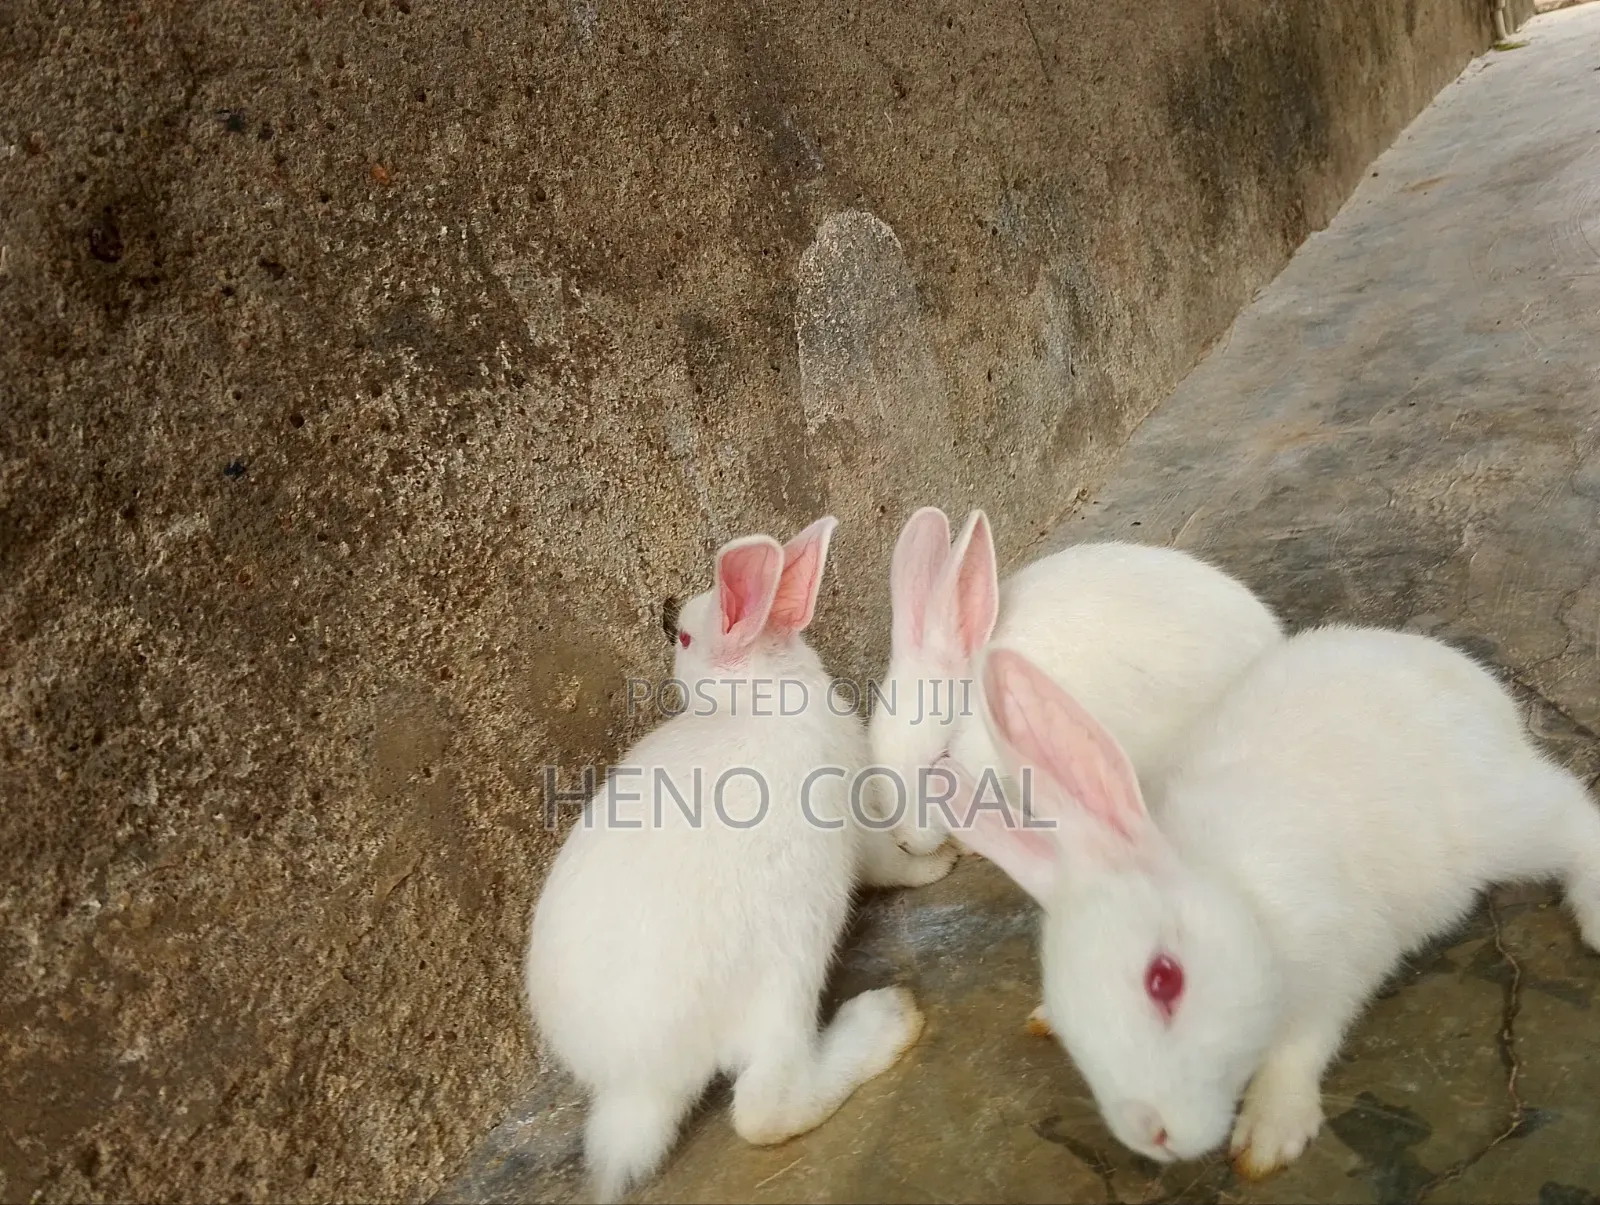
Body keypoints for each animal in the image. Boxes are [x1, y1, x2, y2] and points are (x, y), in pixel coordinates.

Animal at [524, 517, 954, 1203]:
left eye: (685, 636)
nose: (669, 623)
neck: (758, 690)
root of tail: (639, 1082)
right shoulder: (854, 819)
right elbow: (891, 862)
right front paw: (940, 863)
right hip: (787, 965)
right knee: (766, 1108)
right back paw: (886, 1021)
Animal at [959, 627, 1600, 1179]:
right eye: (1070, 1018)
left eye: (1164, 979)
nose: (1153, 1133)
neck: (1242, 901)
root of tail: (1470, 678)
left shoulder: (1337, 966)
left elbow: (1300, 1048)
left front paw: (1269, 1132)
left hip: (1496, 823)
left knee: (1573, 814)